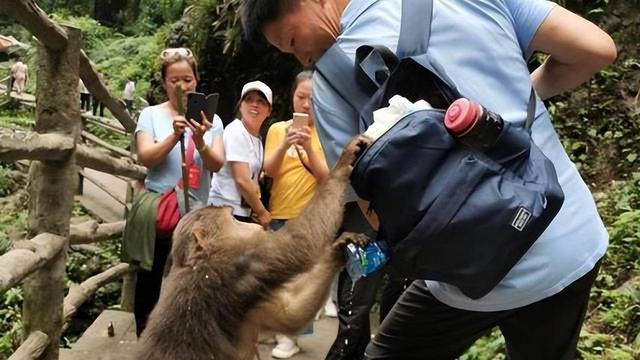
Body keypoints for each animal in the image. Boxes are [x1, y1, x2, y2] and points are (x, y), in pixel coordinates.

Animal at [138, 136, 372, 360]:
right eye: (234, 218)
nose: (251, 222)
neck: (201, 261)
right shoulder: (244, 263)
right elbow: (301, 242)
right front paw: (344, 163)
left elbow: (290, 314)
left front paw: (339, 250)